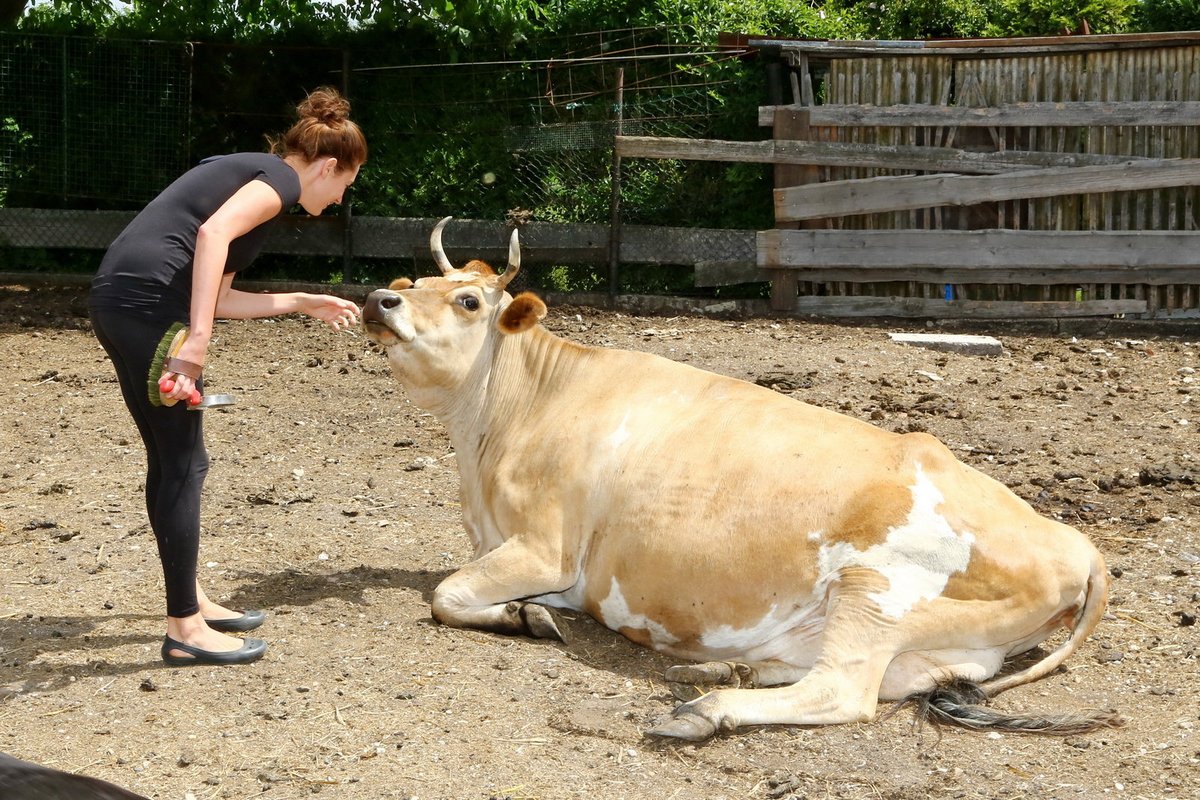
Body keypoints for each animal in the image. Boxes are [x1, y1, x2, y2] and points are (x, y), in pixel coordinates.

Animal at [364, 217, 1123, 738]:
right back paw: (720, 669)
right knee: (870, 677)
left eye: (468, 300)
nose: (379, 301)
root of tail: (1075, 543)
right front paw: (527, 614)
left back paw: (708, 705)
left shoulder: (544, 549)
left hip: (875, 590)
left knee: (843, 691)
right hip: (947, 642)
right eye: (415, 285)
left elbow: (445, 594)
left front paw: (525, 616)